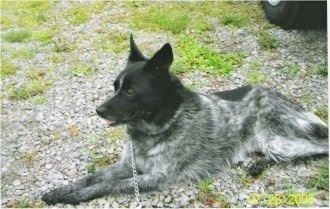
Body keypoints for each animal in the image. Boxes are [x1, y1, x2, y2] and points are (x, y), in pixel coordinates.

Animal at [42, 35, 328, 204]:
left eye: (131, 91)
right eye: (115, 87)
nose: (99, 110)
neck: (162, 124)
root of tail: (274, 93)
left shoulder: (156, 177)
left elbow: (107, 186)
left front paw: (73, 197)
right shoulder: (128, 165)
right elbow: (91, 178)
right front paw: (61, 191)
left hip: (279, 141)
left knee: (317, 146)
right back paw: (258, 165)